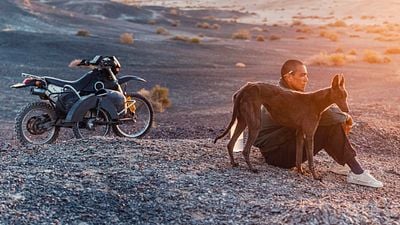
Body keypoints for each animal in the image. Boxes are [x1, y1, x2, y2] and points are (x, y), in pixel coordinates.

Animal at [214, 74, 348, 180]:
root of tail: (246, 87)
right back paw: (252, 169)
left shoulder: (300, 134)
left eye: (345, 96)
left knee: (230, 144)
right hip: (255, 124)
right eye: (340, 96)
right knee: (245, 150)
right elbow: (310, 160)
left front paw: (300, 171)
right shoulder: (310, 135)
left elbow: (298, 156)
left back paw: (233, 163)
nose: (347, 110)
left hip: (242, 121)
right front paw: (315, 176)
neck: (317, 101)